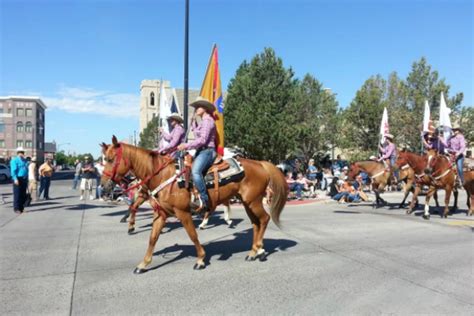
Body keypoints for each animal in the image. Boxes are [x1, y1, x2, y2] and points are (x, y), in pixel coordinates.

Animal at [99, 137, 288, 272]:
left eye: (110, 159)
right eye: (103, 159)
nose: (104, 186)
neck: (162, 176)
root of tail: (260, 163)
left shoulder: (183, 212)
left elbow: (193, 235)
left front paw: (200, 260)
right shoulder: (161, 214)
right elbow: (152, 238)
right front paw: (143, 264)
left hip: (253, 201)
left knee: (264, 219)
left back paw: (260, 250)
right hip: (248, 202)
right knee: (256, 223)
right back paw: (253, 252)